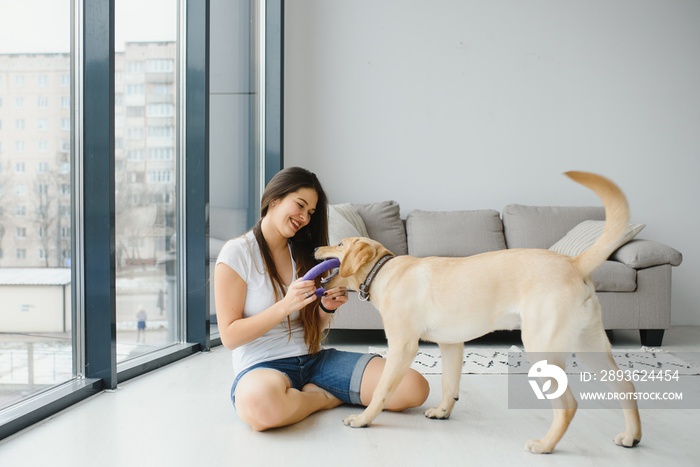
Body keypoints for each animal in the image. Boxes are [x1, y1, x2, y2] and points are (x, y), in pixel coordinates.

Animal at [316, 174, 640, 456]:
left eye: (340, 244)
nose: (318, 247)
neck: (382, 271)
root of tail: (574, 263)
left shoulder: (402, 345)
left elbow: (383, 389)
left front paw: (363, 419)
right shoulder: (451, 345)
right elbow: (449, 385)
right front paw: (443, 412)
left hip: (542, 347)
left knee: (568, 404)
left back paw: (545, 445)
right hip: (590, 345)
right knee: (625, 385)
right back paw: (631, 437)